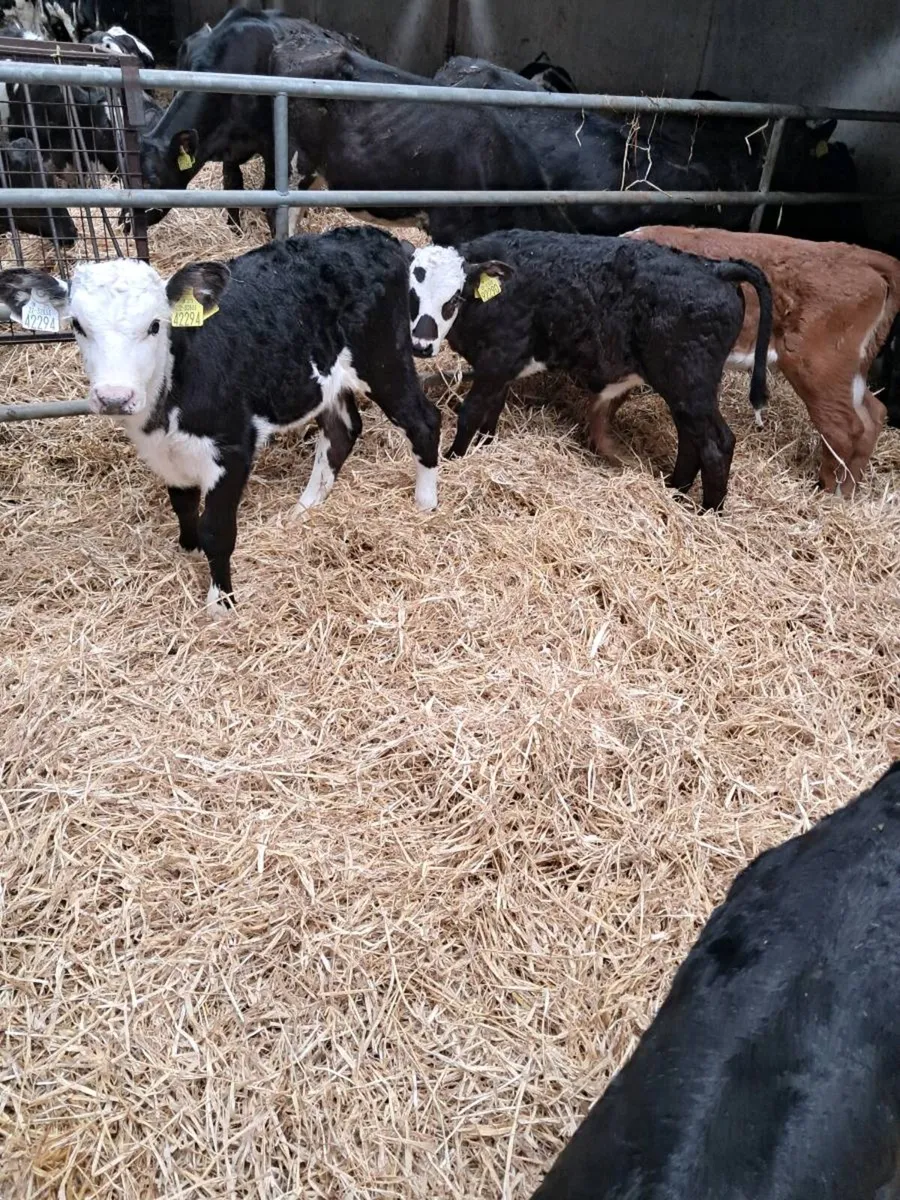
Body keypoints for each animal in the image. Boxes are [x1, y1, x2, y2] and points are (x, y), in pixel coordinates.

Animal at [0, 227, 441, 613]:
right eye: (78, 326)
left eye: (155, 325)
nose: (114, 397)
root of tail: (377, 237)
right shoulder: (166, 451)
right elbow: (182, 503)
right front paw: (188, 547)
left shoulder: (232, 447)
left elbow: (218, 529)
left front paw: (221, 602)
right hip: (327, 379)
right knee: (342, 431)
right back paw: (305, 507)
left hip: (384, 359)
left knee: (425, 421)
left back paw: (425, 503)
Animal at [406, 230, 773, 511]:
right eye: (411, 294)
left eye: (454, 298)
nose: (421, 345)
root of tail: (715, 267)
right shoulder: (502, 368)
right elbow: (491, 413)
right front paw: (484, 448)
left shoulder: (496, 360)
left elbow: (470, 413)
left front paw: (453, 457)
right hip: (683, 389)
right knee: (690, 440)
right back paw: (674, 489)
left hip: (689, 383)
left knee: (716, 444)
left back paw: (708, 513)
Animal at [625, 226, 899, 493]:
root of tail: (863, 256)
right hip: (851, 370)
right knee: (873, 415)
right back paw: (847, 493)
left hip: (819, 367)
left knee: (844, 430)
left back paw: (828, 494)